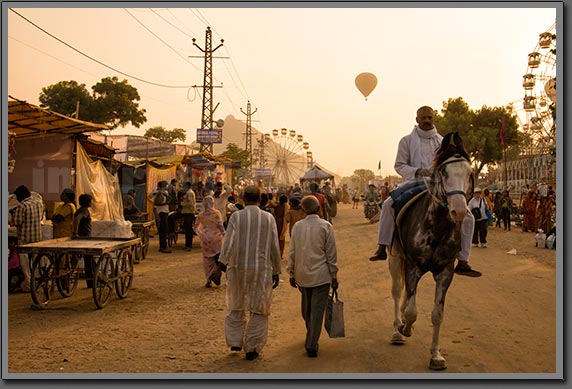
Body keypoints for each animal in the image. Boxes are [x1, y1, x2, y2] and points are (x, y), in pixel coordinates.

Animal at [388, 131, 474, 370]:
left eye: (469, 173)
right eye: (444, 172)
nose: (459, 210)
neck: (437, 227)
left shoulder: (445, 271)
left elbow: (437, 314)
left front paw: (436, 355)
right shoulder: (413, 266)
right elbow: (411, 310)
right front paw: (405, 327)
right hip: (395, 257)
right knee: (397, 291)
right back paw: (397, 330)